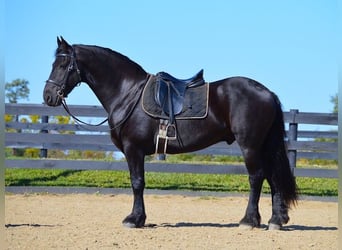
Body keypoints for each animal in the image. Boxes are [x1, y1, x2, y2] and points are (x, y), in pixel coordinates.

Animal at [44, 37, 296, 230]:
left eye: (63, 65)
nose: (48, 96)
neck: (128, 93)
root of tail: (267, 92)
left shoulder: (133, 149)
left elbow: (137, 182)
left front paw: (134, 219)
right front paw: (139, 218)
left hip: (249, 146)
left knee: (257, 177)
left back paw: (248, 220)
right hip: (264, 146)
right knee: (273, 177)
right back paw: (276, 220)